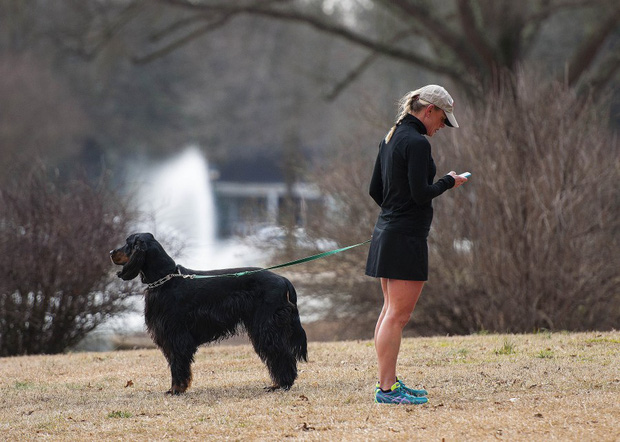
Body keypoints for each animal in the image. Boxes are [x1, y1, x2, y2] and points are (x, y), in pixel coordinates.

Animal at [111, 233, 308, 396]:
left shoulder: (175, 334)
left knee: (281, 353)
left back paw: (282, 384)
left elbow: (177, 363)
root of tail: (283, 279)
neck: (166, 279)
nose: (111, 251)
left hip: (266, 326)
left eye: (128, 243)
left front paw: (176, 389)